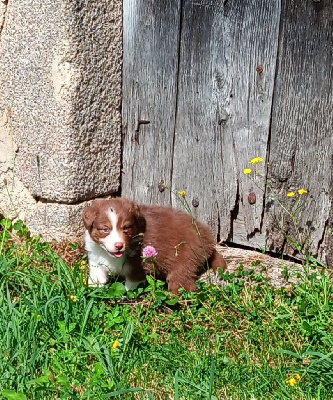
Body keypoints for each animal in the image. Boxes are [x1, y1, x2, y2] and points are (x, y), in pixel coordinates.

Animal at [82, 198, 226, 294]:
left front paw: (129, 294)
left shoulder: (138, 265)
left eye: (126, 228)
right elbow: (96, 276)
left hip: (186, 258)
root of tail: (206, 237)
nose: (118, 245)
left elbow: (131, 284)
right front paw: (92, 290)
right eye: (105, 229)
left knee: (183, 283)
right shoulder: (95, 258)